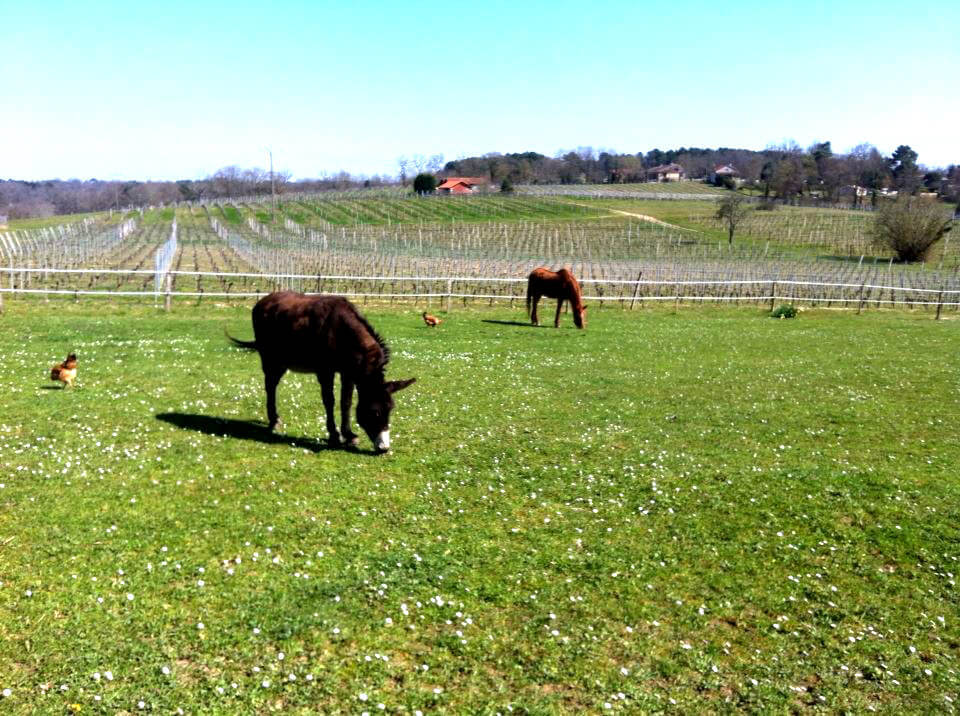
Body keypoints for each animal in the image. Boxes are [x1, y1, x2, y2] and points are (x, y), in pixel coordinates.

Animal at [227, 292, 416, 453]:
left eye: (391, 409)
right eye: (375, 412)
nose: (384, 448)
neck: (341, 331)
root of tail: (264, 300)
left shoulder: (348, 372)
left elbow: (346, 402)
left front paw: (349, 435)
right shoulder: (325, 371)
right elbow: (329, 401)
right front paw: (334, 435)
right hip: (271, 359)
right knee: (270, 386)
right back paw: (274, 421)